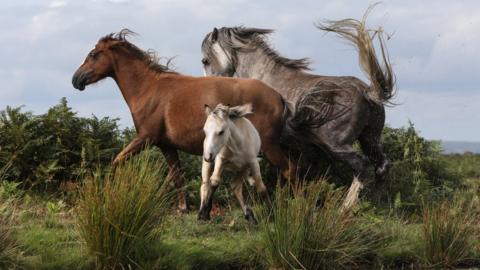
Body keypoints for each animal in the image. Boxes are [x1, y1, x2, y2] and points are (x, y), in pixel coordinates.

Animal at [71, 29, 296, 211]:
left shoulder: (145, 138)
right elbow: (178, 177)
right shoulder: (166, 146)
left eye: (93, 54)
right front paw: (183, 207)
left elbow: (116, 161)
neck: (149, 90)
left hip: (268, 147)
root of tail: (278, 97)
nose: (76, 79)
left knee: (290, 170)